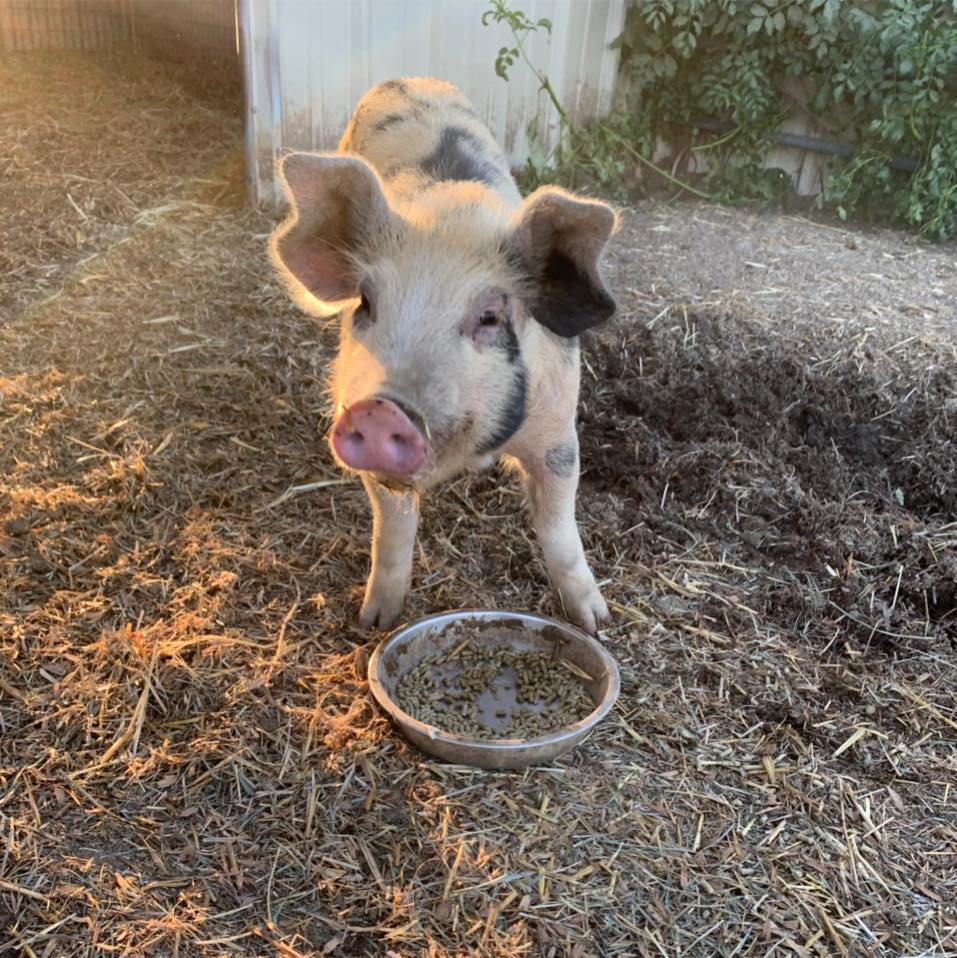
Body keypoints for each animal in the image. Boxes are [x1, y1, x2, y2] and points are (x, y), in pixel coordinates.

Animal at [269, 77, 617, 634]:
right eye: (366, 303)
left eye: (490, 317)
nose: (380, 409)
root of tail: (407, 80)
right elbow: (393, 530)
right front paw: (375, 622)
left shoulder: (559, 431)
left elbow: (561, 530)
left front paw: (594, 621)